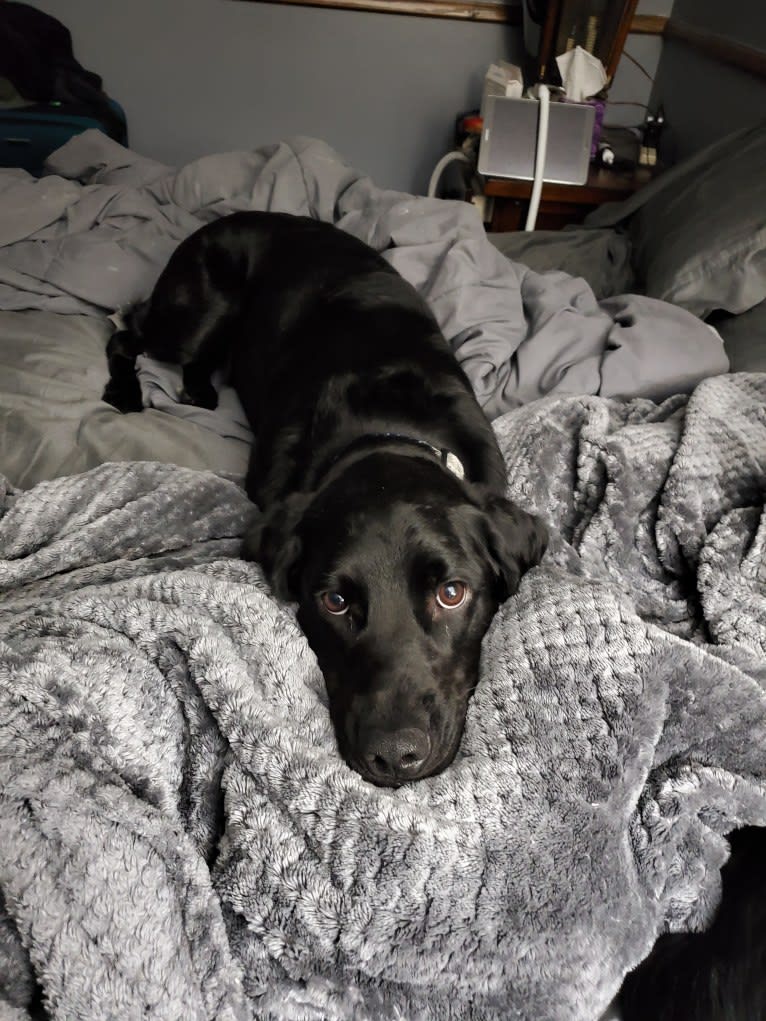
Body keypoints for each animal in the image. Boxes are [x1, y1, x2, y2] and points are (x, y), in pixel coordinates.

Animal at [105, 211, 547, 784]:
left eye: (452, 593)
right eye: (334, 602)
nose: (395, 756)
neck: (386, 426)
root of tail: (234, 215)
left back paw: (198, 392)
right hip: (191, 321)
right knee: (125, 335)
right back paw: (126, 392)